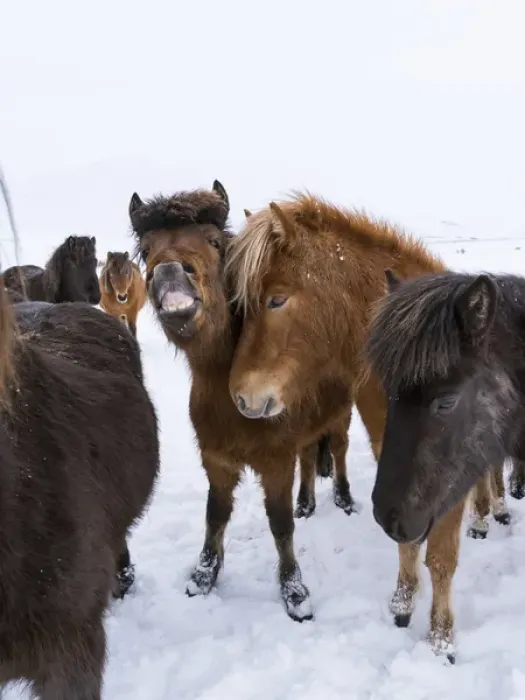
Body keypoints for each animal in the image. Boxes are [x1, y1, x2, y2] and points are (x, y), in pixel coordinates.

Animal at [128, 180, 348, 621]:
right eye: (145, 250)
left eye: (215, 242)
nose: (170, 273)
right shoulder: (216, 459)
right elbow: (215, 515)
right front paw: (203, 577)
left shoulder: (275, 461)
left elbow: (280, 524)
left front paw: (294, 592)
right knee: (309, 458)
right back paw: (307, 502)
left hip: (342, 416)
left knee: (339, 448)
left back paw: (343, 498)